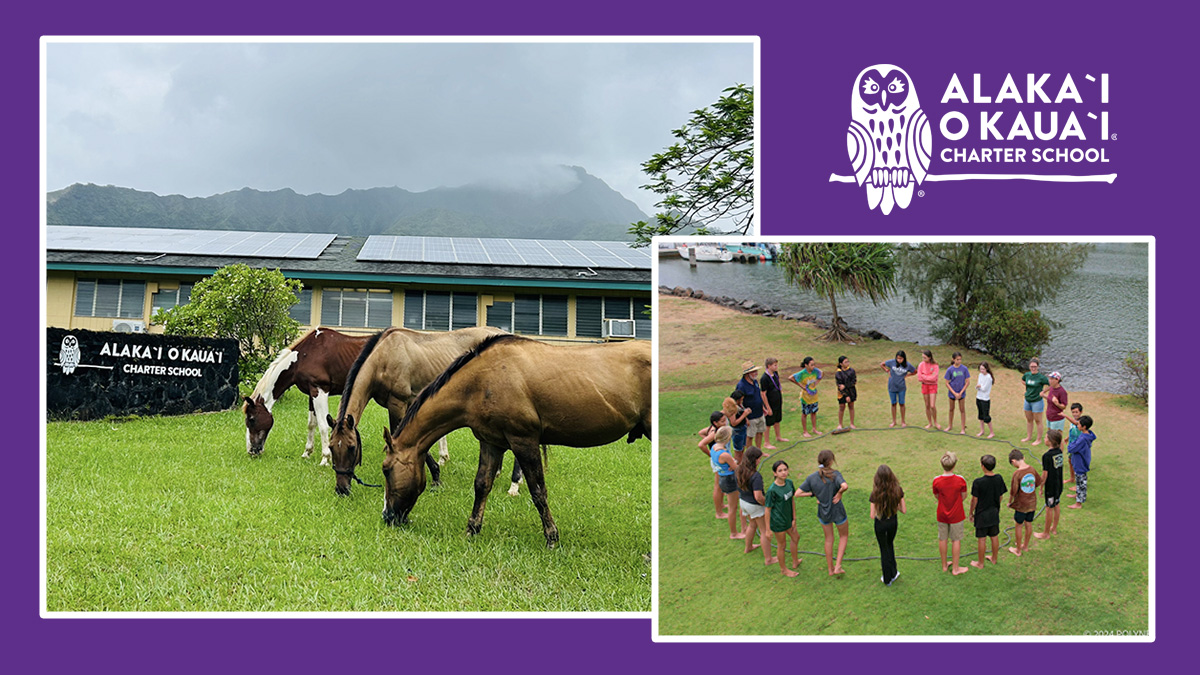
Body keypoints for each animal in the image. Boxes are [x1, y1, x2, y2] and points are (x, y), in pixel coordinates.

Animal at [241, 326, 372, 461]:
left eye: (251, 419)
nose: (251, 451)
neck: (303, 358)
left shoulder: (320, 391)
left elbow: (323, 425)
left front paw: (326, 458)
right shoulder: (311, 394)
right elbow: (311, 424)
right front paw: (307, 453)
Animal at [324, 326, 511, 494]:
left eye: (352, 447)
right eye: (331, 447)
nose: (341, 489)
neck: (384, 357)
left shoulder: (397, 404)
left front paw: (436, 478)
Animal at [379, 331, 652, 547]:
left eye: (386, 469)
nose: (387, 516)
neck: (481, 381)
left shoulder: (524, 441)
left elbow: (538, 491)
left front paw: (552, 537)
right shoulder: (491, 442)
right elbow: (481, 485)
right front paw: (472, 529)